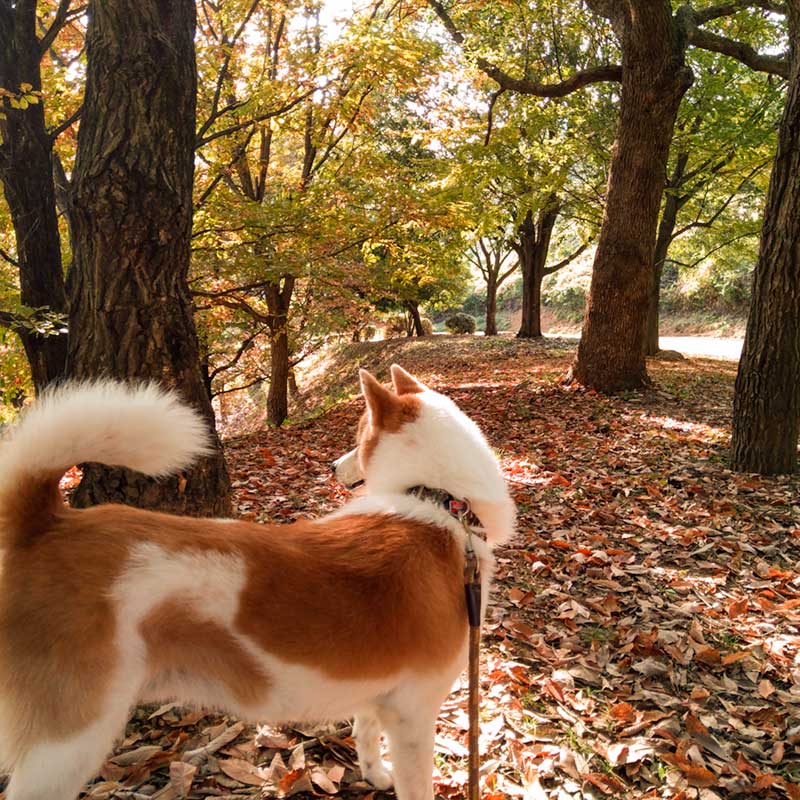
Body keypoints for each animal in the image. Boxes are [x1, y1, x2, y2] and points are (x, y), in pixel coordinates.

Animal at [0, 364, 516, 800]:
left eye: (356, 436)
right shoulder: (413, 716)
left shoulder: (381, 698)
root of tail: (47, 524)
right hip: (67, 745)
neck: (438, 501)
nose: (333, 467)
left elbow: (366, 734)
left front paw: (374, 774)